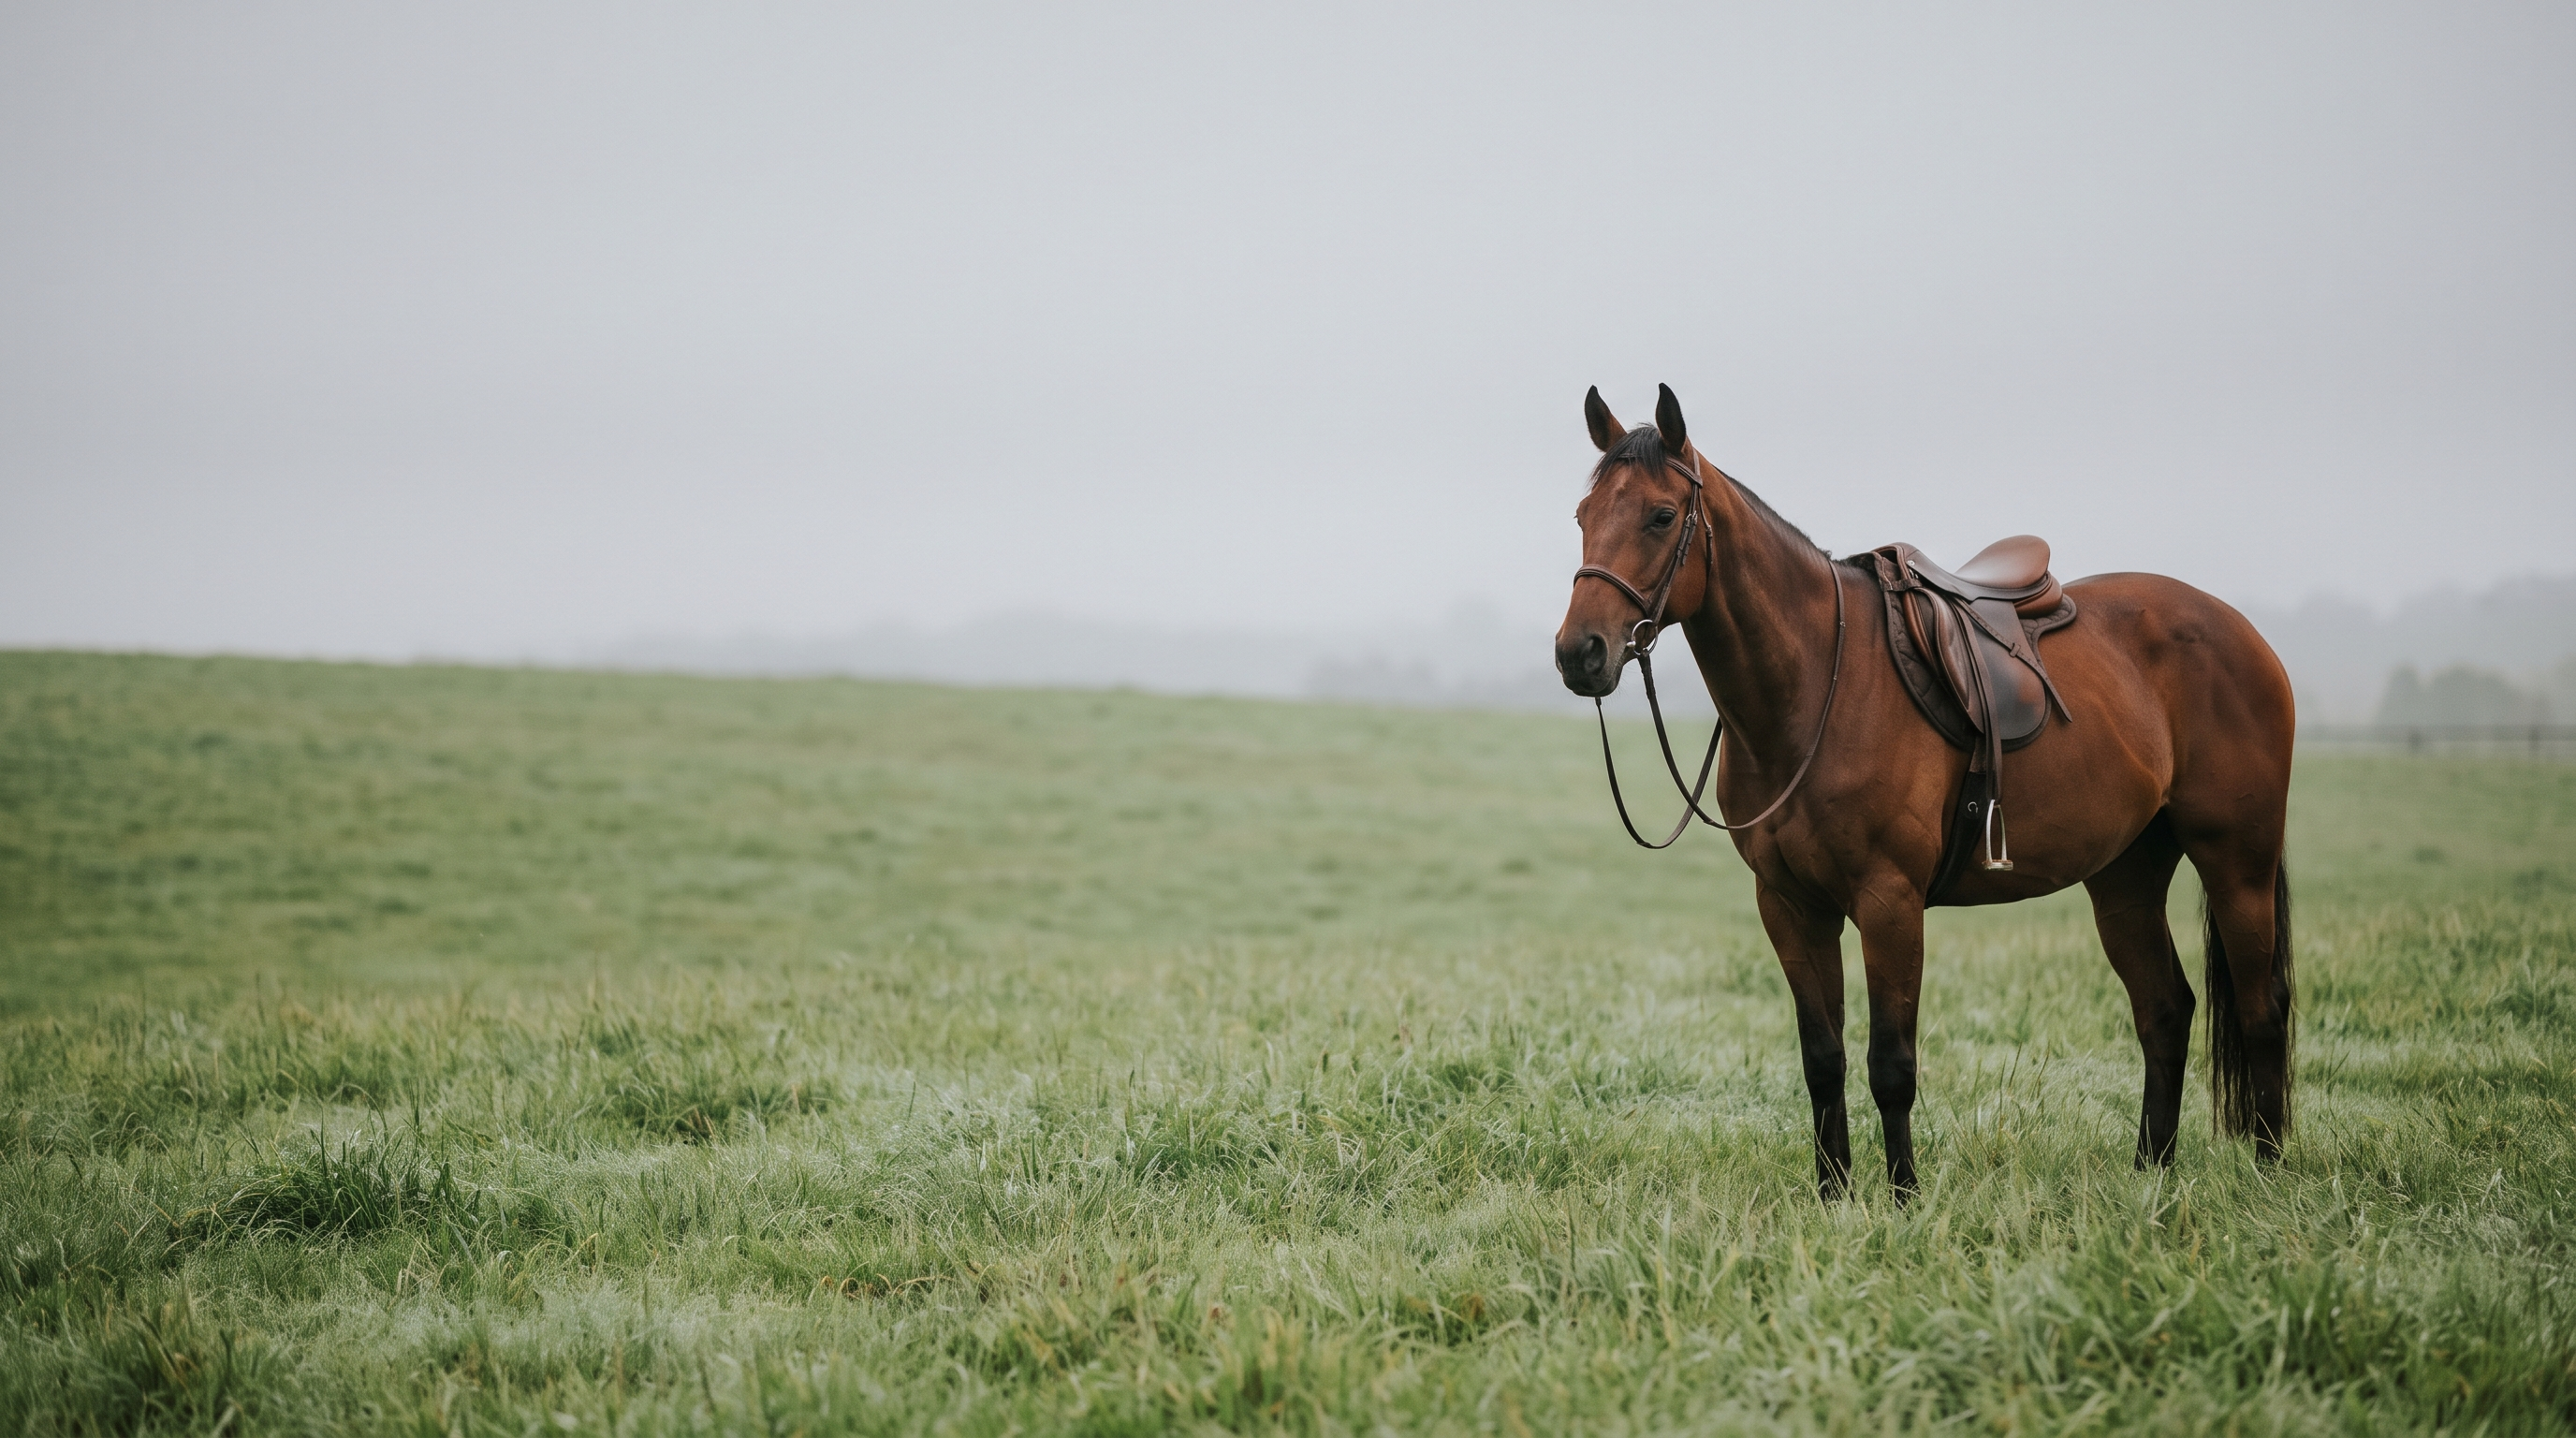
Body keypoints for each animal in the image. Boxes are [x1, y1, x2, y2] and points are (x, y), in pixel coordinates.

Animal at [1554, 384, 2295, 1201]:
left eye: (1660, 516)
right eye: (1584, 516)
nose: (1579, 653)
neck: (1816, 684)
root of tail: (2241, 630)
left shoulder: (1890, 902)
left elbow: (1891, 1065)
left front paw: (1903, 1197)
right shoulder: (1790, 907)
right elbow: (1824, 1060)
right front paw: (1833, 1196)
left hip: (2238, 862)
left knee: (2260, 1010)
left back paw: (2268, 1173)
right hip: (2125, 877)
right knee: (2164, 1010)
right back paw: (2149, 1176)